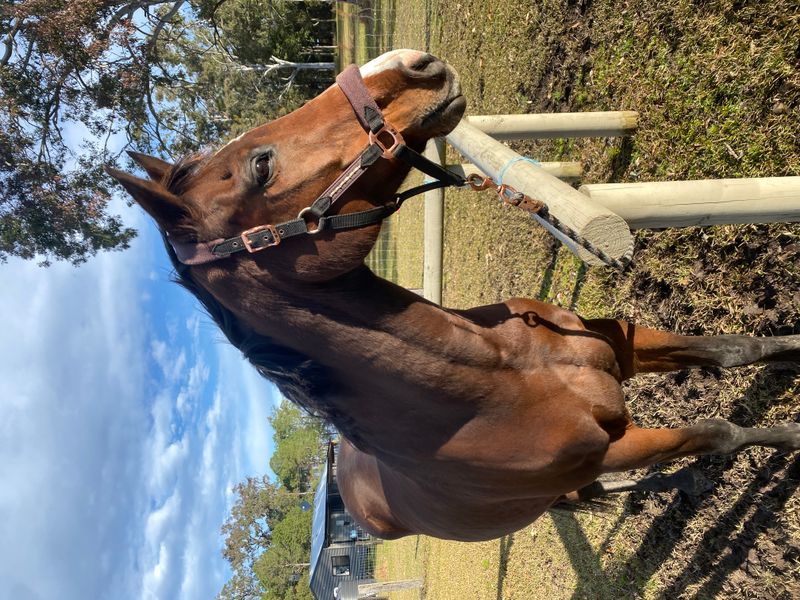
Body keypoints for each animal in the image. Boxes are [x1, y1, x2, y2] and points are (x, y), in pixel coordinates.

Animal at [108, 49, 800, 542]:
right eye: (261, 167)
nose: (412, 64)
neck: (500, 374)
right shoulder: (608, 446)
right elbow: (719, 431)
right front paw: (788, 437)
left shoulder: (612, 343)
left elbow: (733, 348)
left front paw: (788, 347)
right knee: (593, 494)